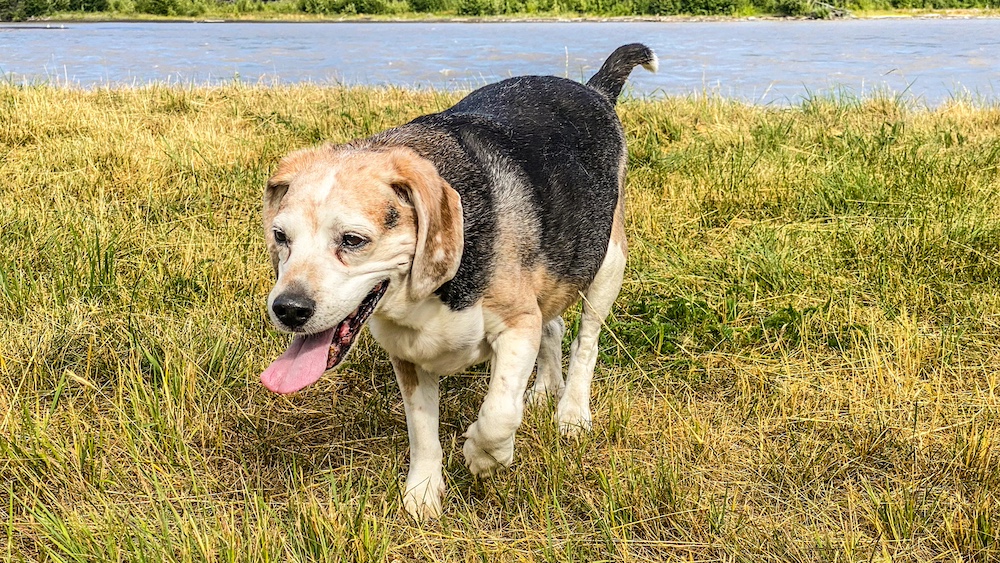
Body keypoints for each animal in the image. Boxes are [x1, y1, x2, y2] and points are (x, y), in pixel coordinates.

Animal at [260, 43, 657, 520]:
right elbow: (422, 429)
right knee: (555, 325)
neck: (433, 291)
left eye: (353, 240)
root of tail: (594, 90)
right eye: (281, 237)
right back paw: (545, 388)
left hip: (607, 264)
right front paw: (423, 492)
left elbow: (499, 412)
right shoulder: (408, 355)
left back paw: (572, 412)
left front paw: (484, 456)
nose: (288, 309)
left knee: (586, 342)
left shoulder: (516, 326)